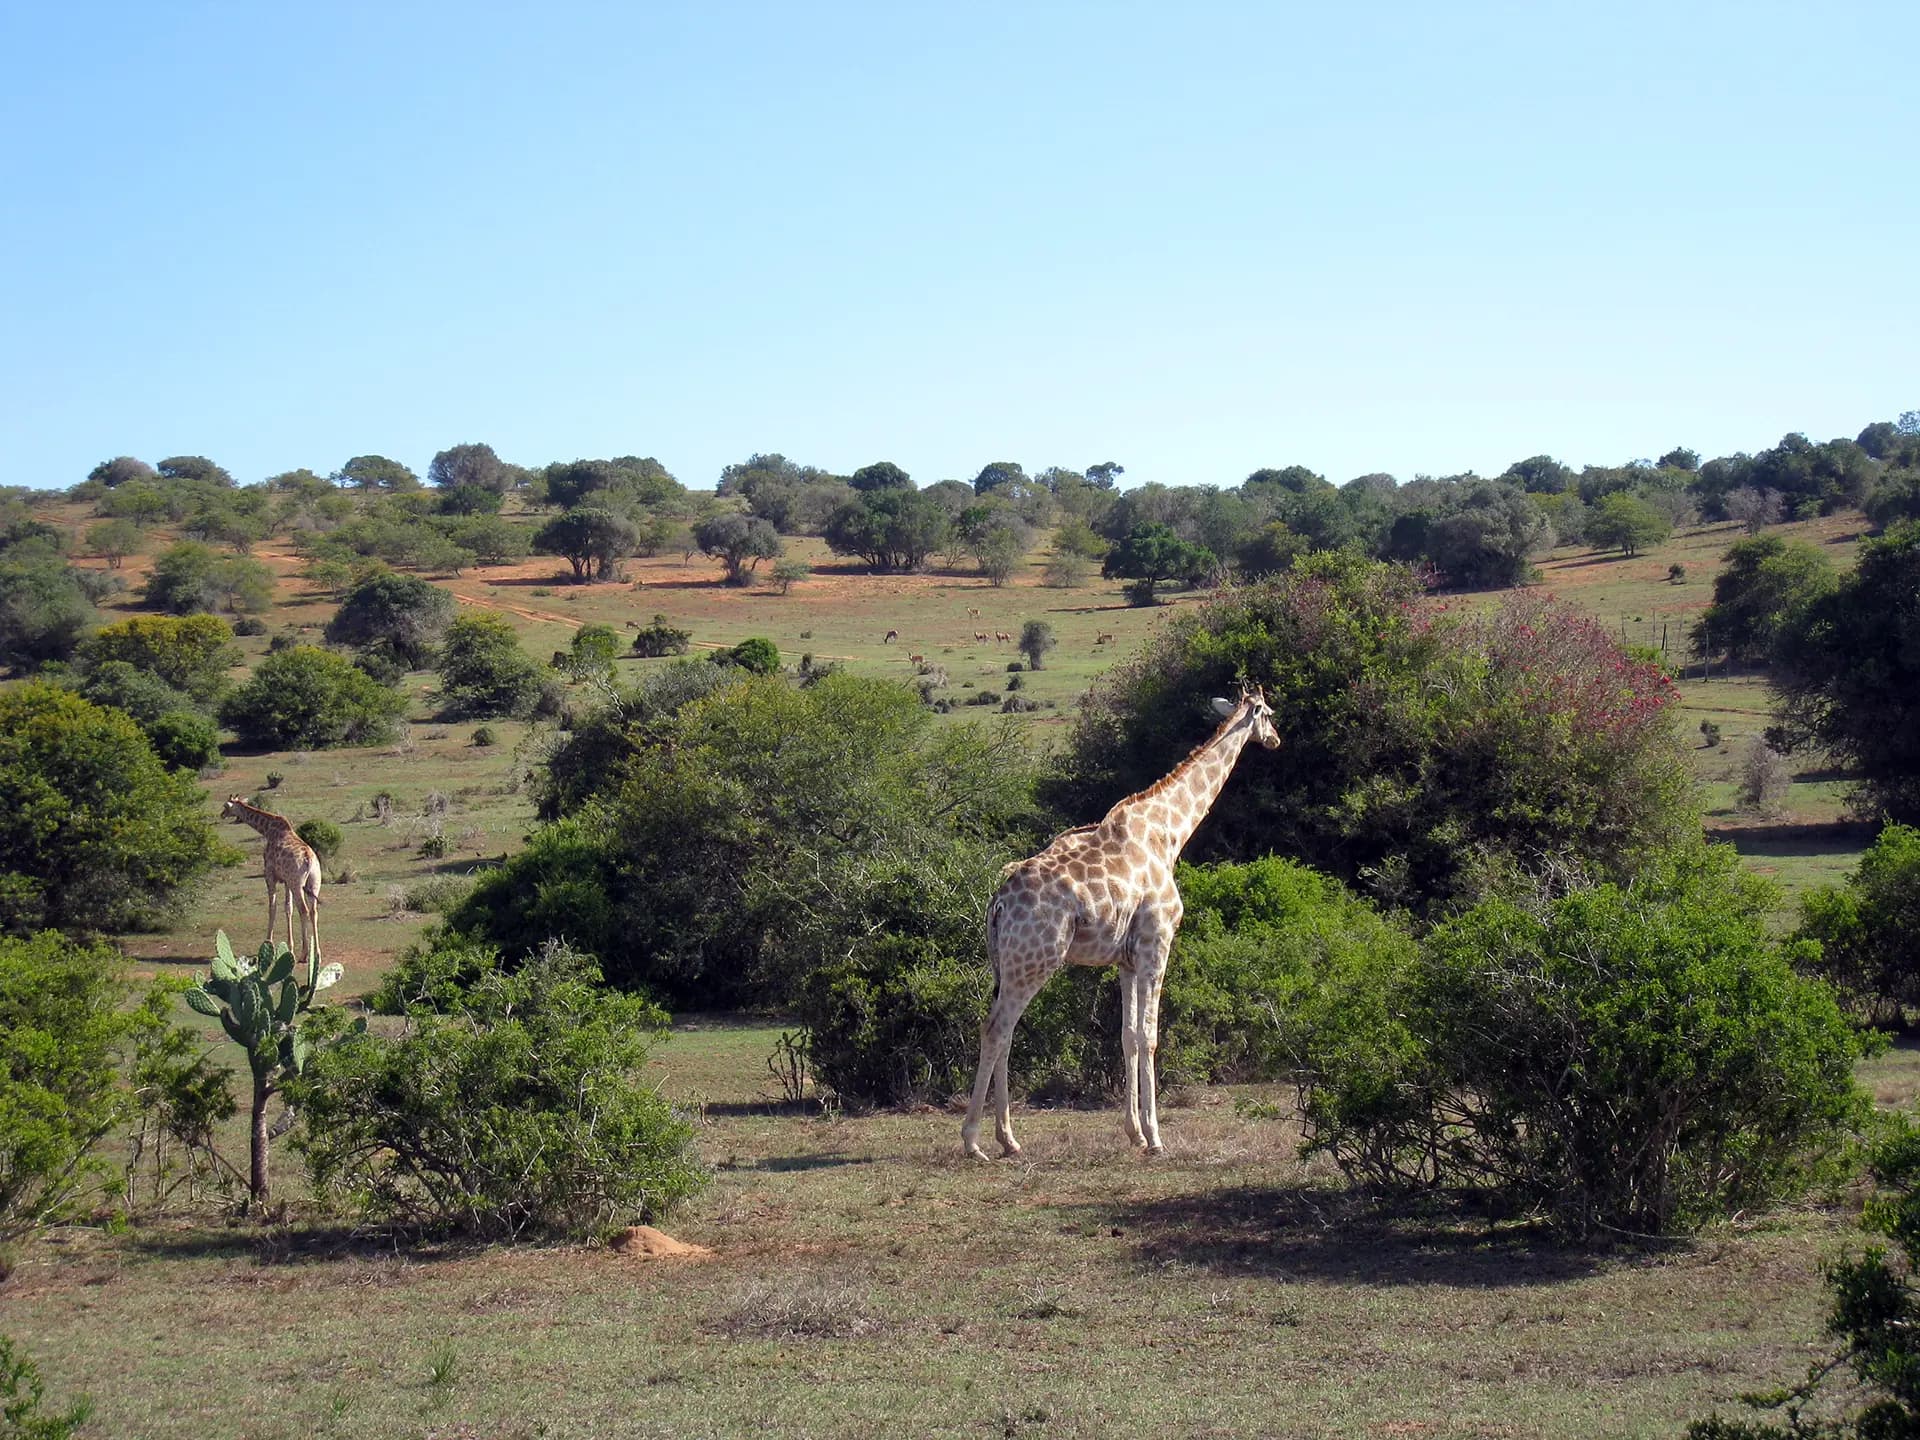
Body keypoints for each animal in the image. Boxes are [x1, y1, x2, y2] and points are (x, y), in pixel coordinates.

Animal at [221, 795, 323, 976]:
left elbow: (272, 907)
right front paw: (289, 947)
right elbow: (288, 908)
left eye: (226, 806)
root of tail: (309, 859)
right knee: (313, 911)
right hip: (313, 883)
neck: (267, 830)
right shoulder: (286, 881)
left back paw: (304, 955)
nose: (222, 814)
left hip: (297, 883)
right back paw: (316, 953)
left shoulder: (270, 875)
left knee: (304, 910)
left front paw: (268, 942)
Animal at [961, 687, 1281, 1160]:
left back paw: (1009, 1139)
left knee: (1006, 1031)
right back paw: (973, 1141)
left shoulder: (1126, 960)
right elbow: (1150, 1036)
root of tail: (998, 903)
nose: (1276, 740)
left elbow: (1128, 1036)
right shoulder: (1157, 942)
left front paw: (1134, 1133)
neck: (1168, 832)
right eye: (1269, 713)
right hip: (1034, 961)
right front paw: (1156, 1137)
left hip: (1008, 965)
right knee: (995, 1028)